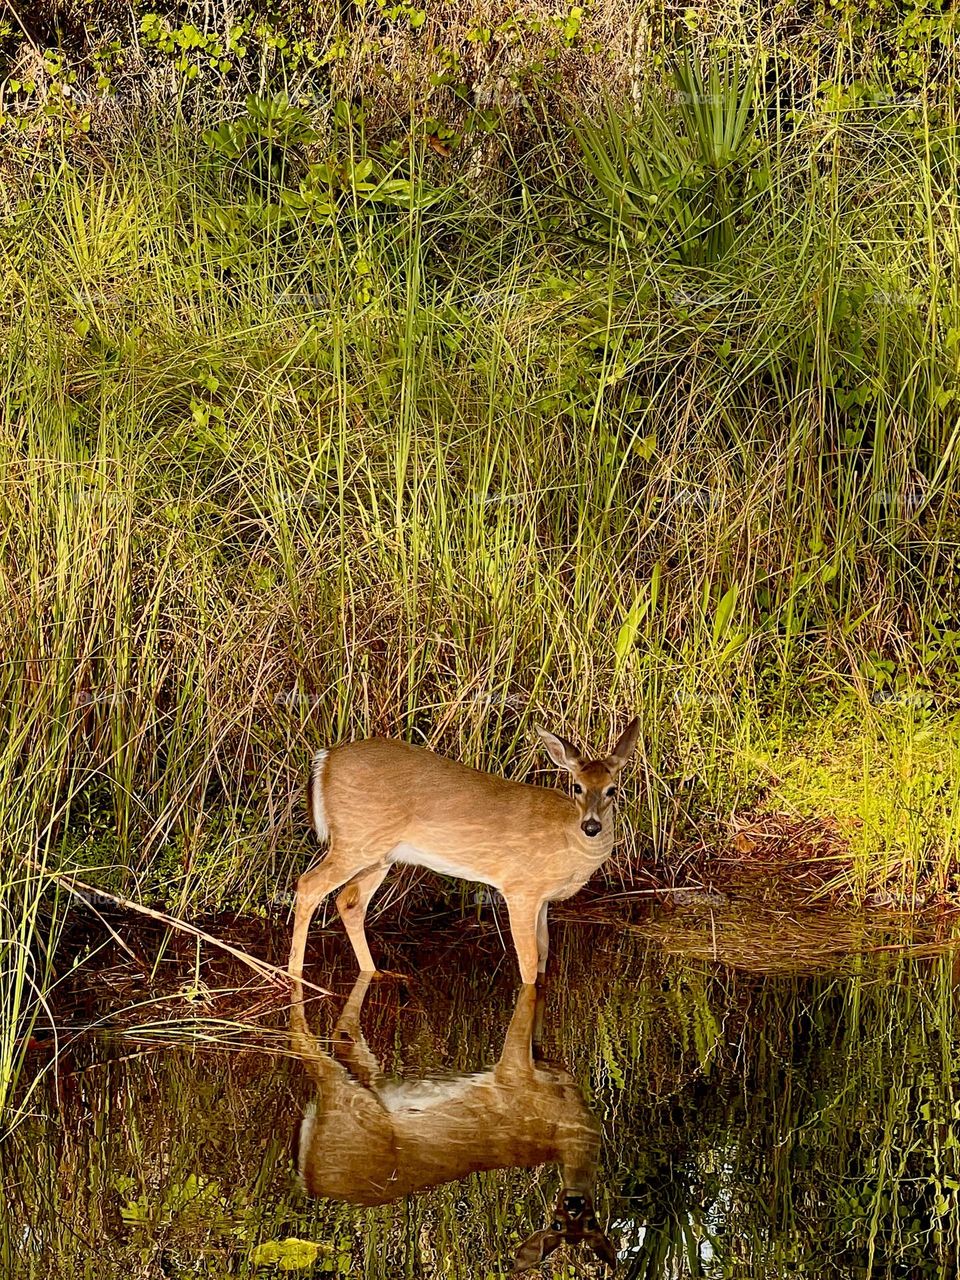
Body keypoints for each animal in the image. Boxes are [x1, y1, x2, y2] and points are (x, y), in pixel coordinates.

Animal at [287, 717, 641, 985]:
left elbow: (543, 953)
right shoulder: (520, 889)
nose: (591, 826)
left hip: (379, 853)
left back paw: (378, 973)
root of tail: (324, 760)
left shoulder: (543, 900)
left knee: (349, 901)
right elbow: (528, 960)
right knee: (308, 885)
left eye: (612, 789)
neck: (567, 839)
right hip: (354, 841)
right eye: (576, 786)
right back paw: (294, 975)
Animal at [290, 975, 617, 1272]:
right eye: (557, 1224)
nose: (574, 1203)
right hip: (349, 1101)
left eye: (590, 1222)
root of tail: (310, 1180)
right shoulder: (513, 1070)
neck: (568, 1125)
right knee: (303, 1037)